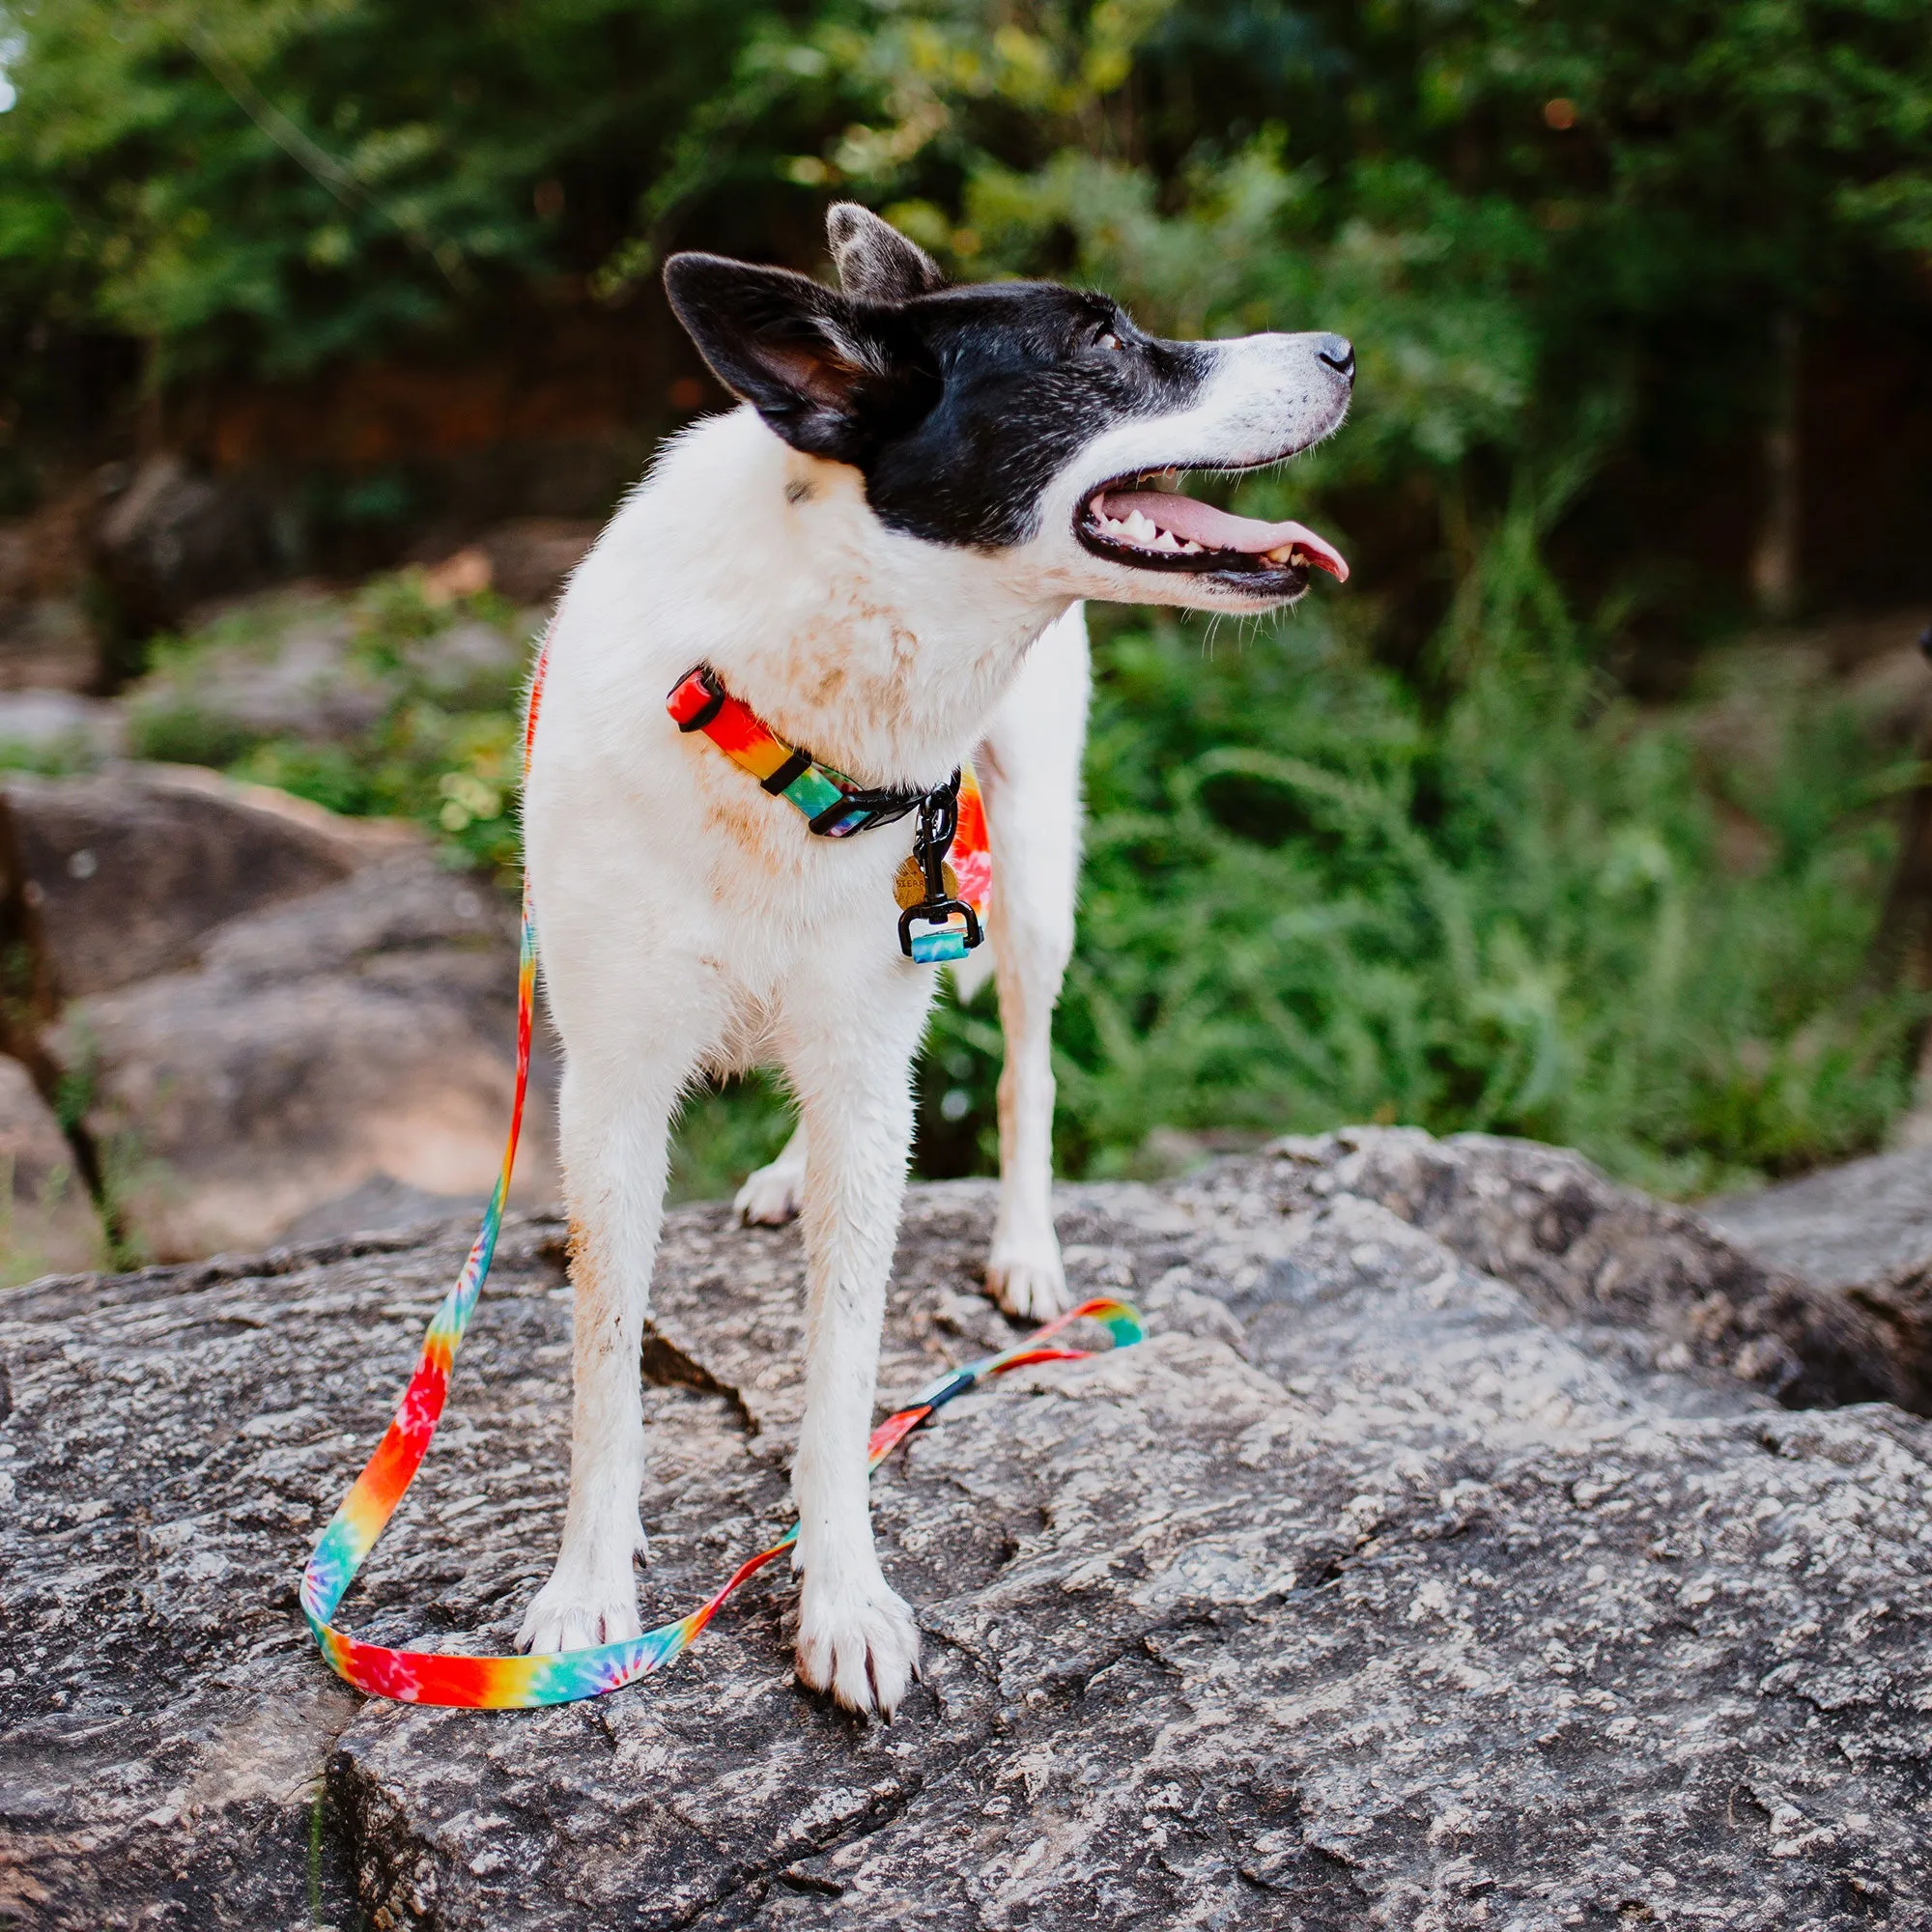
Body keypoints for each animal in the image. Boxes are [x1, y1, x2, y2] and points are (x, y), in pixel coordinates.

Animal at [522, 204, 1352, 1716]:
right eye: (1098, 340)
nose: (1339, 349)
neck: (788, 715)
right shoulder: (609, 1087)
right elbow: (605, 1362)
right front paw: (587, 1589)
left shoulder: (868, 1061)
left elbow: (842, 1375)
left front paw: (842, 1594)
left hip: (1025, 877)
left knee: (1024, 1069)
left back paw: (1024, 1247)